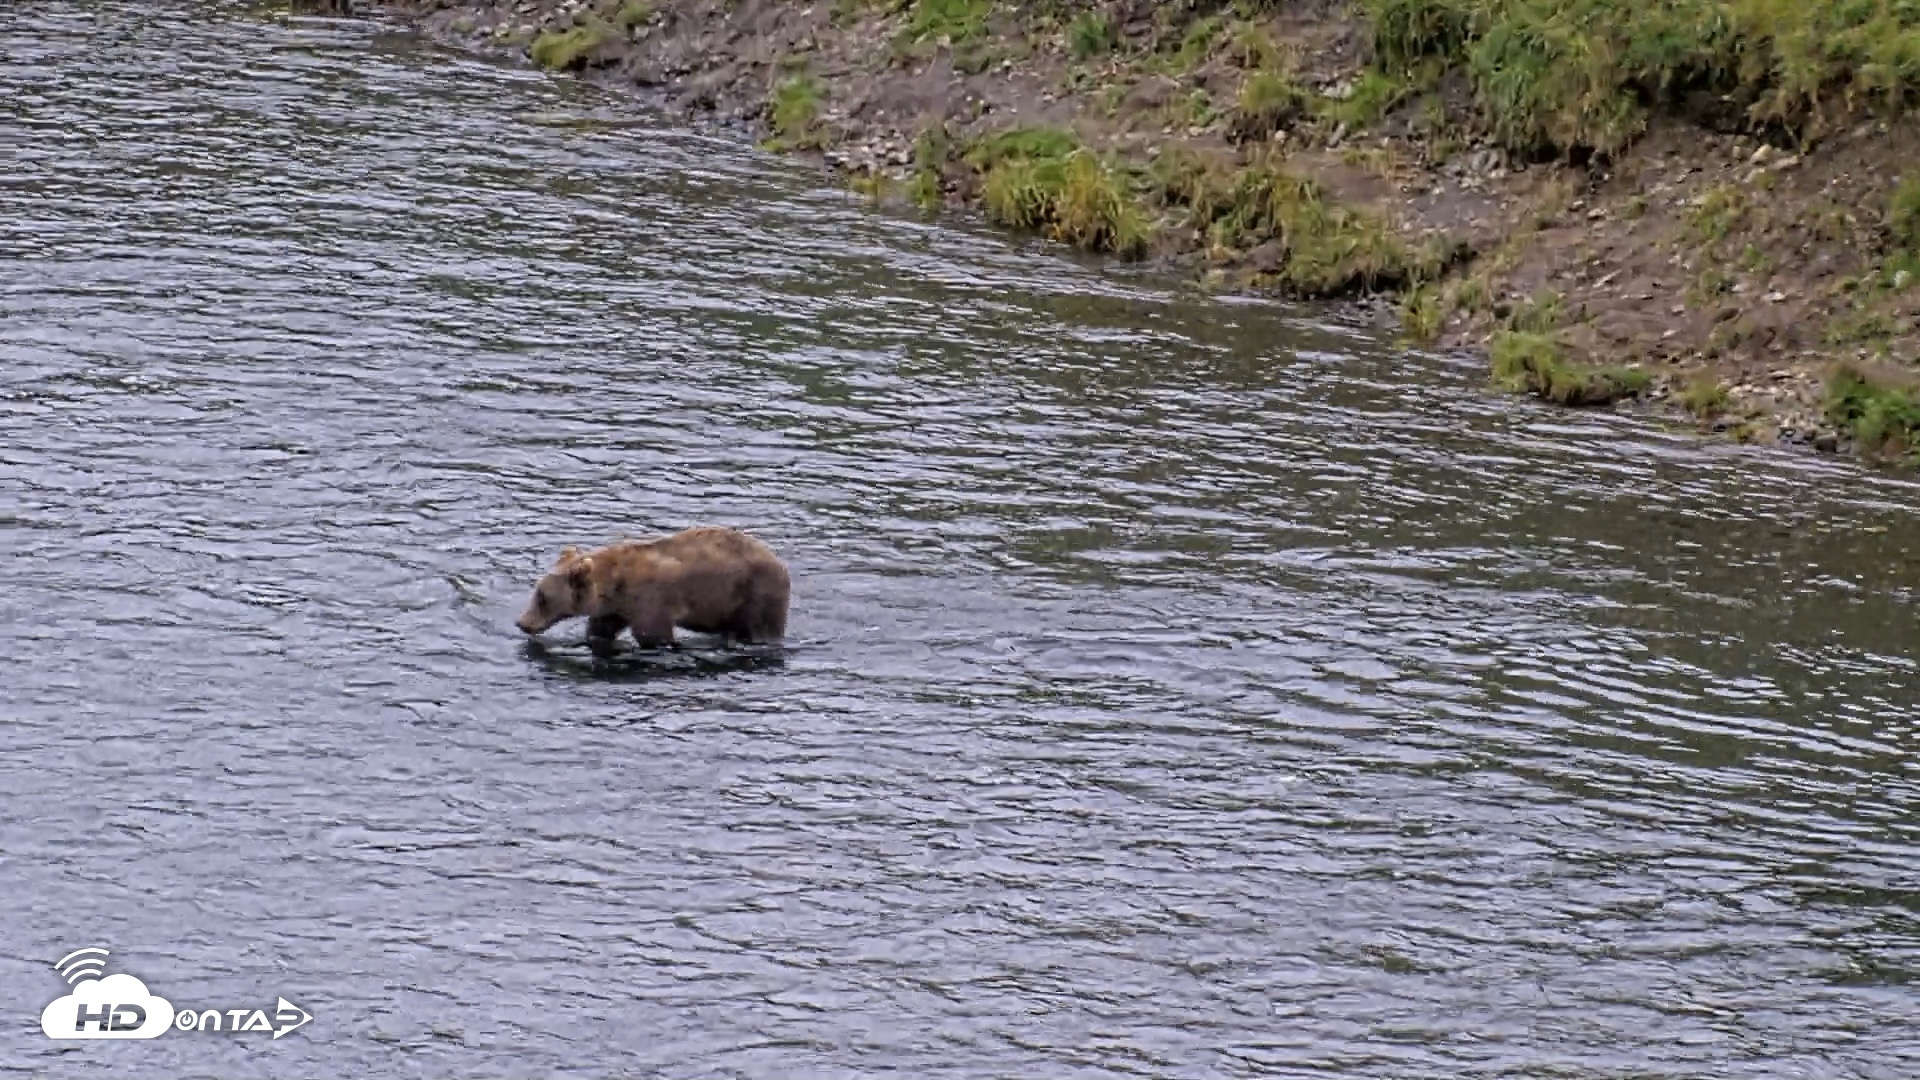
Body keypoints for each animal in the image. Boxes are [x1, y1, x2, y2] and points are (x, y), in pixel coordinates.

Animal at [515, 526, 790, 648]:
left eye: (542, 597)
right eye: (537, 591)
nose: (522, 622)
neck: (616, 585)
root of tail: (781, 564)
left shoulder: (651, 600)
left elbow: (653, 633)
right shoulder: (615, 608)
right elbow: (600, 629)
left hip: (756, 594)